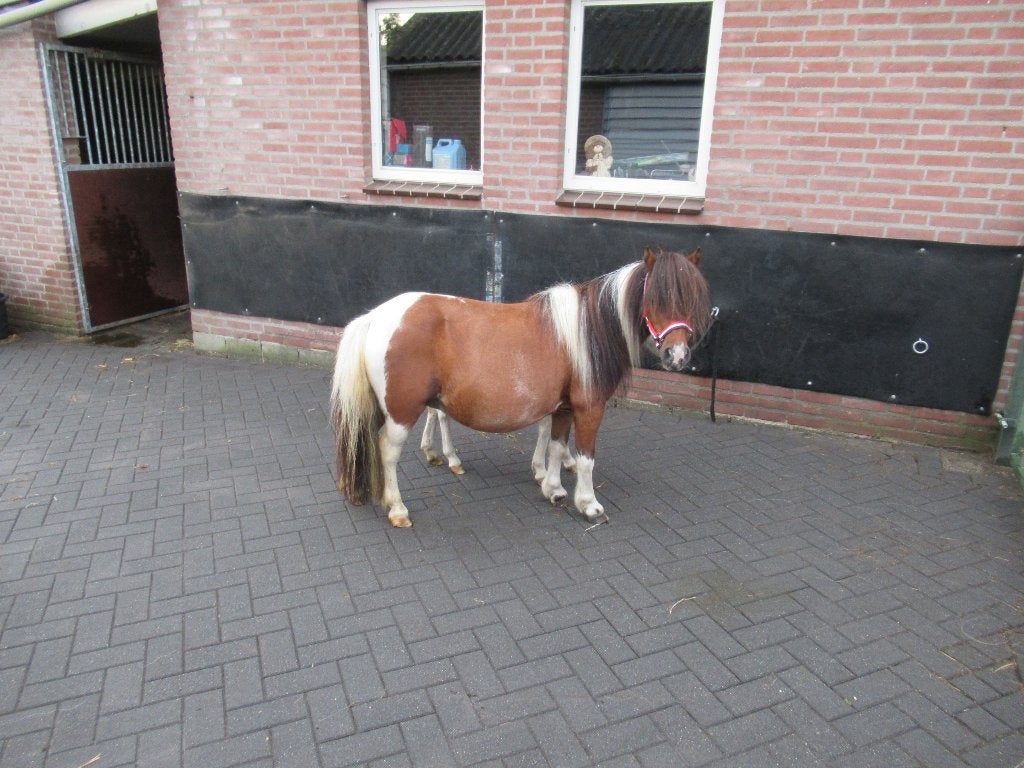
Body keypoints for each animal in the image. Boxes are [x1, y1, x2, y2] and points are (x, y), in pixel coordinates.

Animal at [329, 247, 711, 528]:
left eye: (691, 298)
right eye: (656, 297)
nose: (678, 356)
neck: (586, 331)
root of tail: (375, 317)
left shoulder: (562, 408)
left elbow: (556, 447)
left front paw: (554, 489)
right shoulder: (588, 408)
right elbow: (585, 459)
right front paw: (588, 504)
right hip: (401, 412)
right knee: (388, 451)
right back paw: (397, 508)